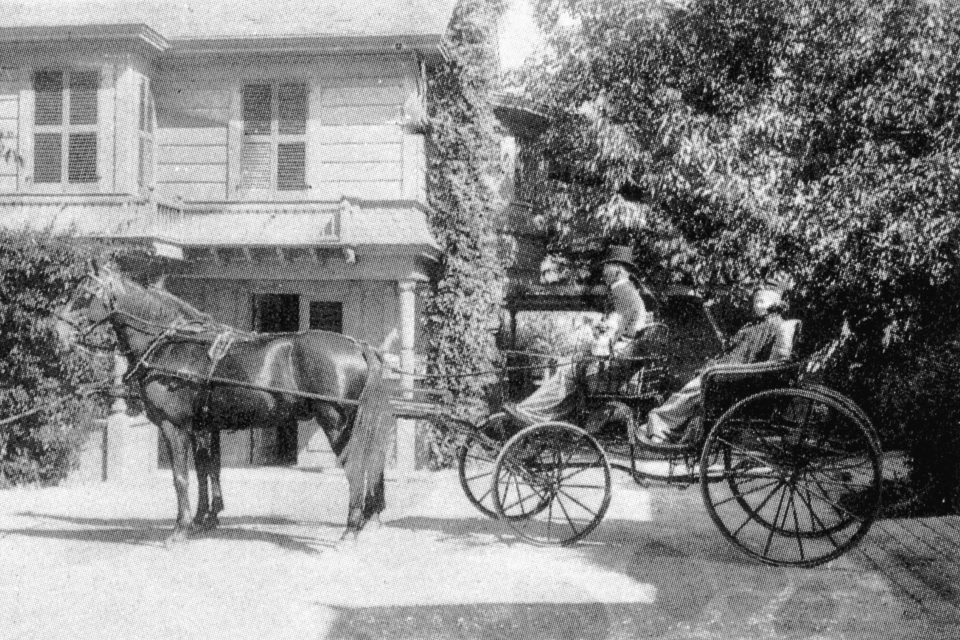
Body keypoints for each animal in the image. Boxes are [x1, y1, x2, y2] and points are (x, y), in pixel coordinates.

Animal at [54, 262, 392, 544]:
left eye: (85, 294)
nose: (58, 331)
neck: (173, 345)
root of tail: (358, 346)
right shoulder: (204, 426)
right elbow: (207, 469)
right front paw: (206, 517)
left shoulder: (174, 426)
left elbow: (181, 477)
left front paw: (180, 529)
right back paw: (368, 517)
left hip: (335, 423)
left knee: (356, 465)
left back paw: (351, 529)